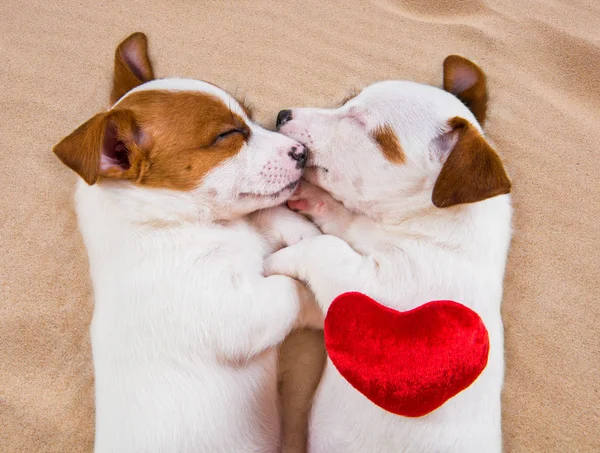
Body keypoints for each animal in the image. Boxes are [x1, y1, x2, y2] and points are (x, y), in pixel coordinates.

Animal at [52, 32, 324, 452]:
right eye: (228, 135)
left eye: (249, 116)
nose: (303, 152)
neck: (186, 224)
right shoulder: (237, 312)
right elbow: (292, 291)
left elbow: (271, 217)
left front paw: (306, 232)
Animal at [270, 57, 512, 452]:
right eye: (347, 100)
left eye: (363, 124)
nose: (282, 114)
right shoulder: (363, 236)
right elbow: (343, 221)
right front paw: (312, 198)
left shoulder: (373, 290)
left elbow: (325, 247)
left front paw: (275, 261)